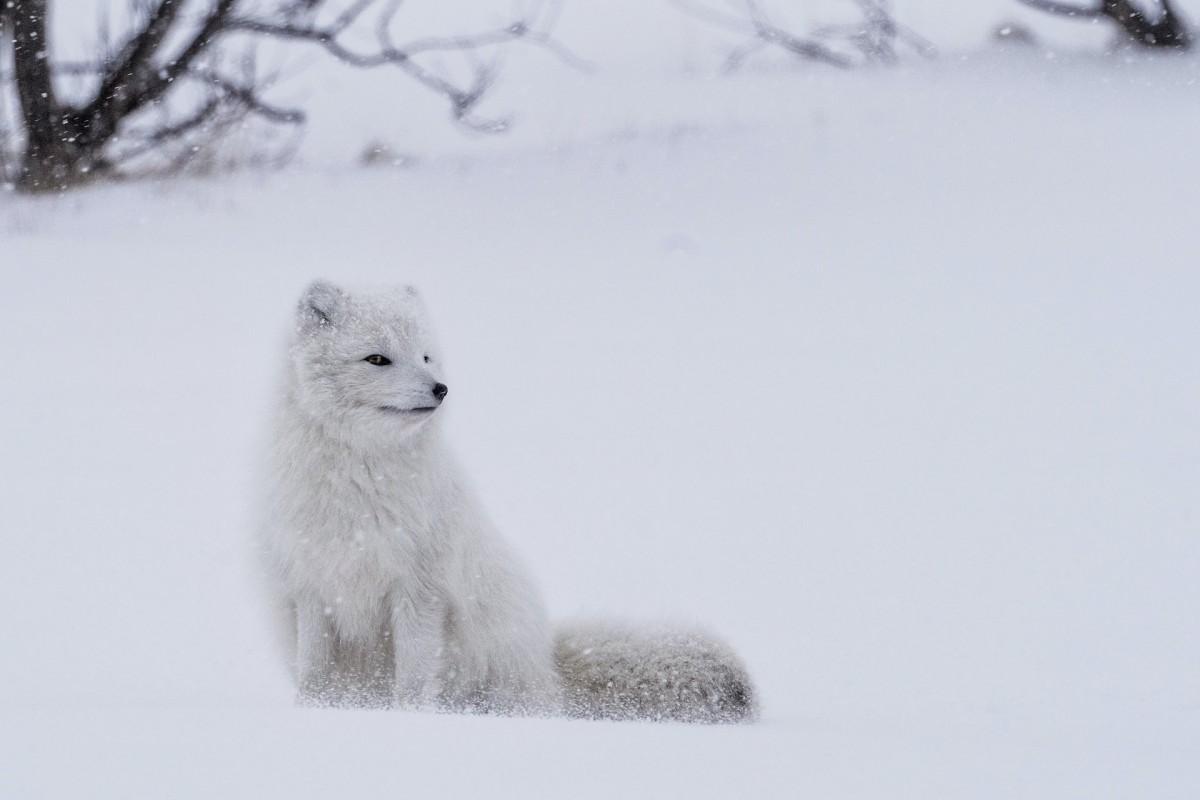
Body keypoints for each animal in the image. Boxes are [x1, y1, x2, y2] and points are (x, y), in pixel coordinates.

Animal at [258, 283, 753, 724]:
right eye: (377, 358)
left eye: (425, 356)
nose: (441, 388)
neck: (360, 481)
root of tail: (549, 667)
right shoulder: (314, 587)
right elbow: (315, 671)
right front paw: (316, 713)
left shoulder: (419, 588)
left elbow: (414, 675)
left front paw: (409, 720)